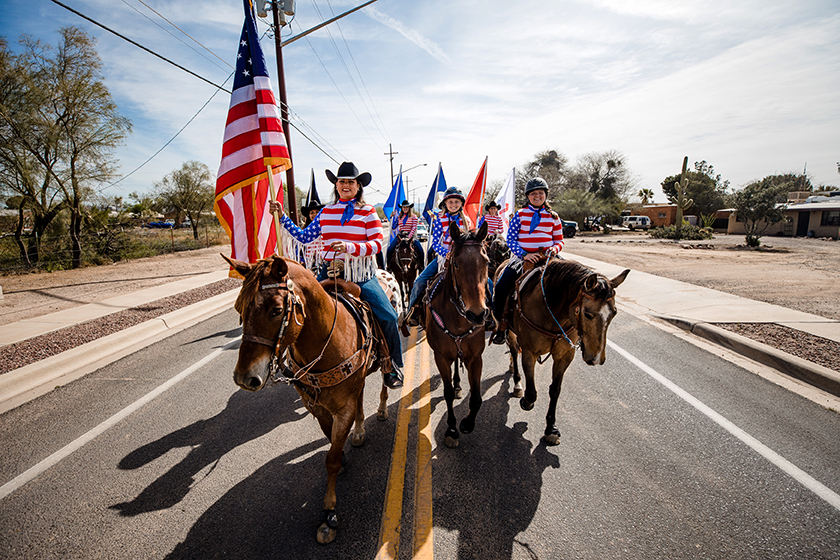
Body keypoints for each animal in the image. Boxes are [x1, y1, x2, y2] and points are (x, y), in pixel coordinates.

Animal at [225, 256, 392, 544]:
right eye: (238, 308)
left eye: (276, 310)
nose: (244, 378)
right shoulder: (317, 407)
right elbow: (331, 441)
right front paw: (345, 453)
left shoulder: (343, 409)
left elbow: (331, 459)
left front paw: (328, 514)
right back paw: (359, 431)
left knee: (384, 379)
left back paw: (382, 407)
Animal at [424, 221, 488, 448]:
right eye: (457, 264)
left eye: (486, 262)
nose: (477, 314)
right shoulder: (441, 357)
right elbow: (448, 393)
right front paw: (451, 430)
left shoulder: (475, 358)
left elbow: (476, 397)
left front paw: (467, 423)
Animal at [496, 258, 628, 446]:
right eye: (587, 314)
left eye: (614, 313)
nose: (596, 359)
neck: (552, 309)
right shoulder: (529, 351)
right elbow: (532, 392)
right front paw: (526, 402)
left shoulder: (564, 356)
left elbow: (555, 390)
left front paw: (551, 429)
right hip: (512, 333)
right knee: (514, 352)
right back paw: (517, 383)